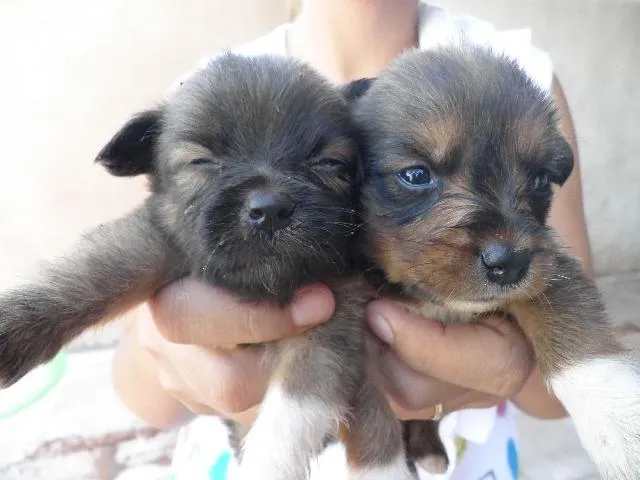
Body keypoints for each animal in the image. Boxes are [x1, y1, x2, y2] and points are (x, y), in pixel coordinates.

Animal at [352, 43, 640, 478]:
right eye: (416, 175)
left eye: (539, 180)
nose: (511, 264)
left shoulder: (552, 267)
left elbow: (578, 336)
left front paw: (619, 424)